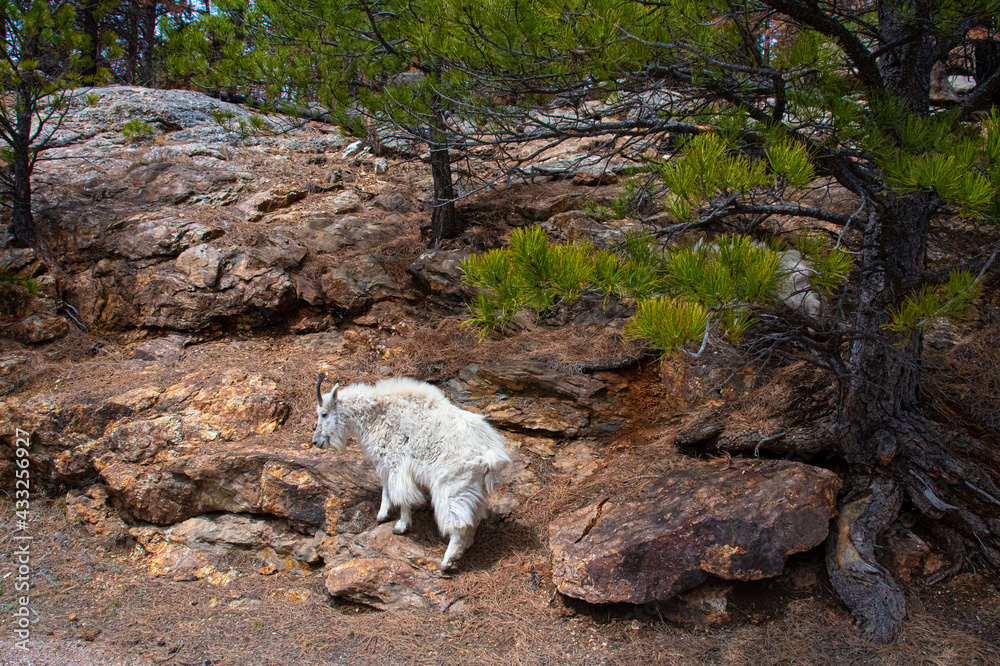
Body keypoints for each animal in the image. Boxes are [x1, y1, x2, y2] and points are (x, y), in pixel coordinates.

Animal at [312, 375, 511, 570]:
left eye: (324, 413)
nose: (316, 442)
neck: (377, 415)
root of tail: (491, 455)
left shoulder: (397, 465)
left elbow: (402, 496)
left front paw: (400, 526)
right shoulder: (388, 464)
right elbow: (386, 488)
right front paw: (382, 515)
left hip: (453, 486)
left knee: (459, 522)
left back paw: (447, 561)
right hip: (475, 488)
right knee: (474, 518)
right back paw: (465, 546)